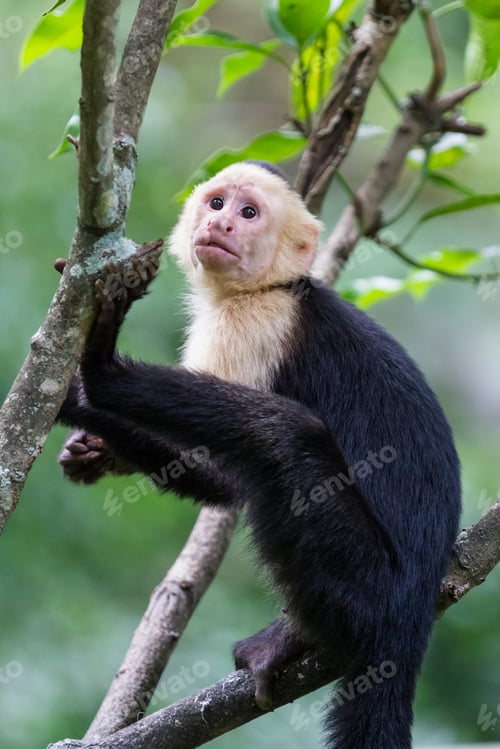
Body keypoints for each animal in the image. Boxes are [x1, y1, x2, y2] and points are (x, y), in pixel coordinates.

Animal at [57, 160, 461, 749]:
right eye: (217, 203)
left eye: (249, 213)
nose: (221, 224)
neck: (271, 286)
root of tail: (412, 617)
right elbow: (213, 476)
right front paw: (95, 447)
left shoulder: (257, 324)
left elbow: (229, 466)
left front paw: (92, 381)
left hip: (370, 586)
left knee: (288, 435)